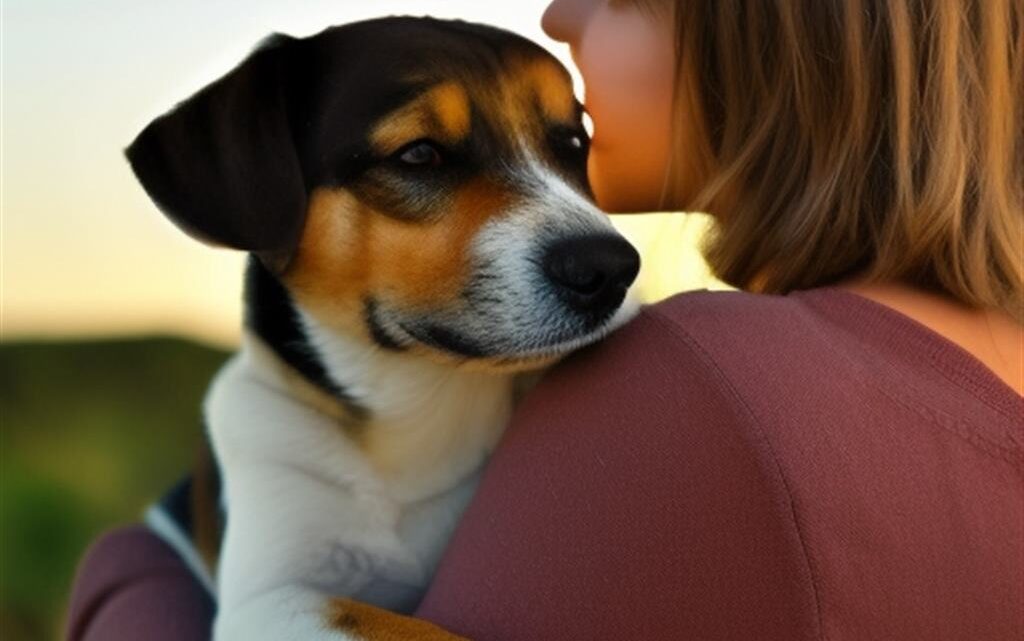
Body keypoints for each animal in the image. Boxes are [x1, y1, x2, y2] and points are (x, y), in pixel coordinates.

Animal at [125, 17, 638, 634]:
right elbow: (390, 621)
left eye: (573, 145)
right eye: (418, 154)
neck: (414, 421)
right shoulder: (266, 599)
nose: (611, 269)